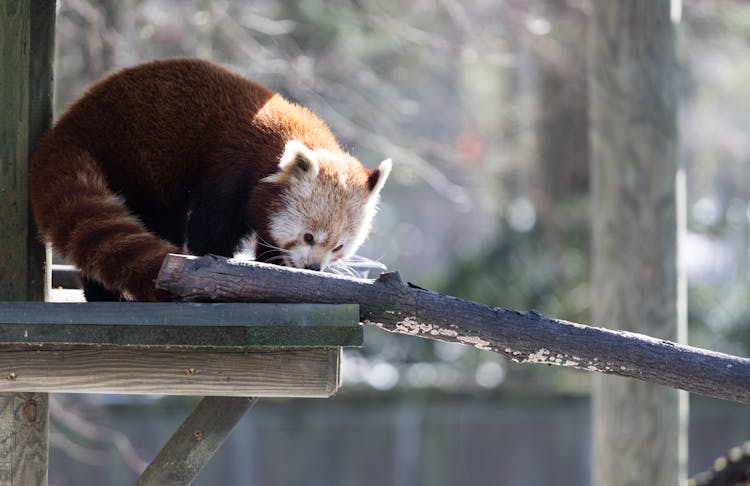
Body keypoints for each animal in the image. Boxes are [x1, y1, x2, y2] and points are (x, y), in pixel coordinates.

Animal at [27, 58, 394, 302]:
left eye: (339, 247)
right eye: (308, 236)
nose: (314, 268)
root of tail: (69, 127)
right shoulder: (230, 171)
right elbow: (211, 230)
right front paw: (218, 269)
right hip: (134, 162)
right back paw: (106, 294)